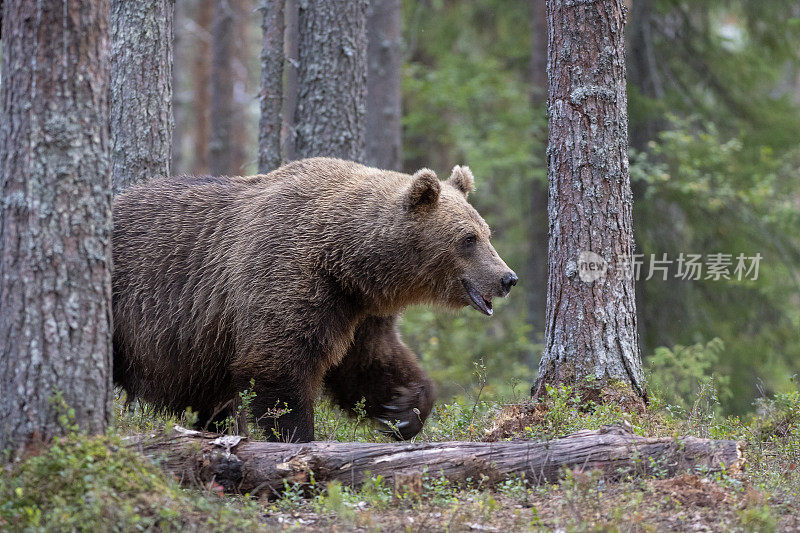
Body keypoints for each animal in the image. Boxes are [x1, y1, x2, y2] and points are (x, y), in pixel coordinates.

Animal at [114, 157, 520, 440]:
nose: (508, 278)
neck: (348, 262)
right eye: (468, 239)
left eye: (486, 233)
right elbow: (279, 367)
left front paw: (402, 408)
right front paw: (298, 437)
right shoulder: (289, 279)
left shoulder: (358, 312)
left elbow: (370, 361)